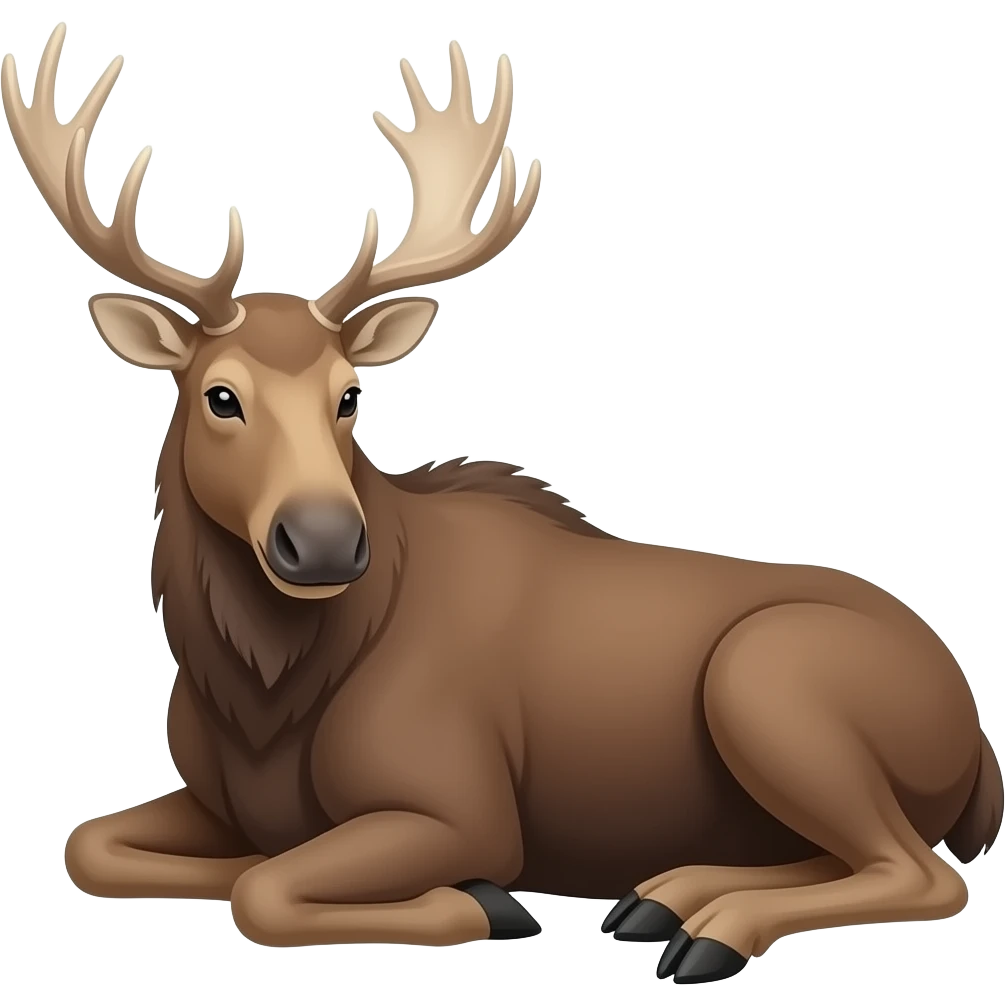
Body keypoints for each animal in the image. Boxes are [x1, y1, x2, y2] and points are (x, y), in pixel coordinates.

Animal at [11, 25, 1001, 984]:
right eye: (221, 395)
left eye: (350, 394)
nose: (323, 542)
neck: (260, 693)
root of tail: (975, 741)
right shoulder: (215, 806)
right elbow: (94, 843)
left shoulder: (460, 805)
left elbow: (264, 888)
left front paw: (487, 901)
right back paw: (665, 895)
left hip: (765, 677)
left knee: (924, 871)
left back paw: (706, 928)